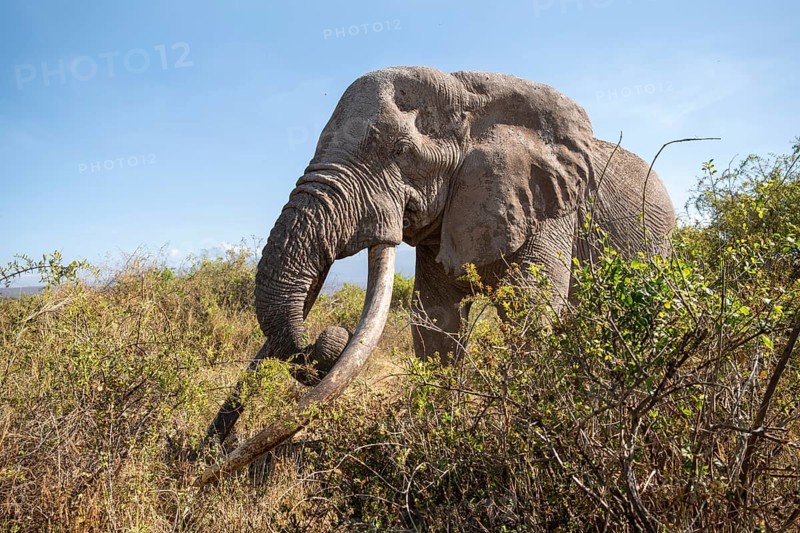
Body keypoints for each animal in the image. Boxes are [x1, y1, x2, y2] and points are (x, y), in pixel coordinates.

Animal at [197, 66, 675, 483]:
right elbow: (435, 321)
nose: (201, 465)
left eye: (401, 151)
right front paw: (440, 434)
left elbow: (529, 307)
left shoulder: (553, 206)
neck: (472, 96)